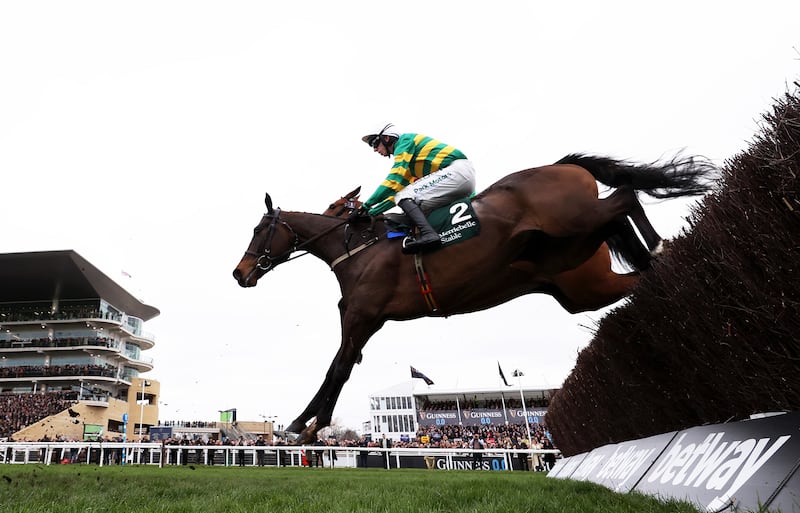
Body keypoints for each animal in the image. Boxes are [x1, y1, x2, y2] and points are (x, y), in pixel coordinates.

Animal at [230, 151, 712, 440]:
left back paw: (664, 249)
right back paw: (661, 266)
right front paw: (301, 423)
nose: (239, 273)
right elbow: (337, 367)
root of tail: (563, 164)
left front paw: (307, 427)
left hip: (574, 224)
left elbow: (338, 369)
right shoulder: (364, 322)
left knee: (625, 196)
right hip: (578, 274)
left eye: (257, 230)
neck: (359, 247)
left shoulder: (363, 318)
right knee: (625, 247)